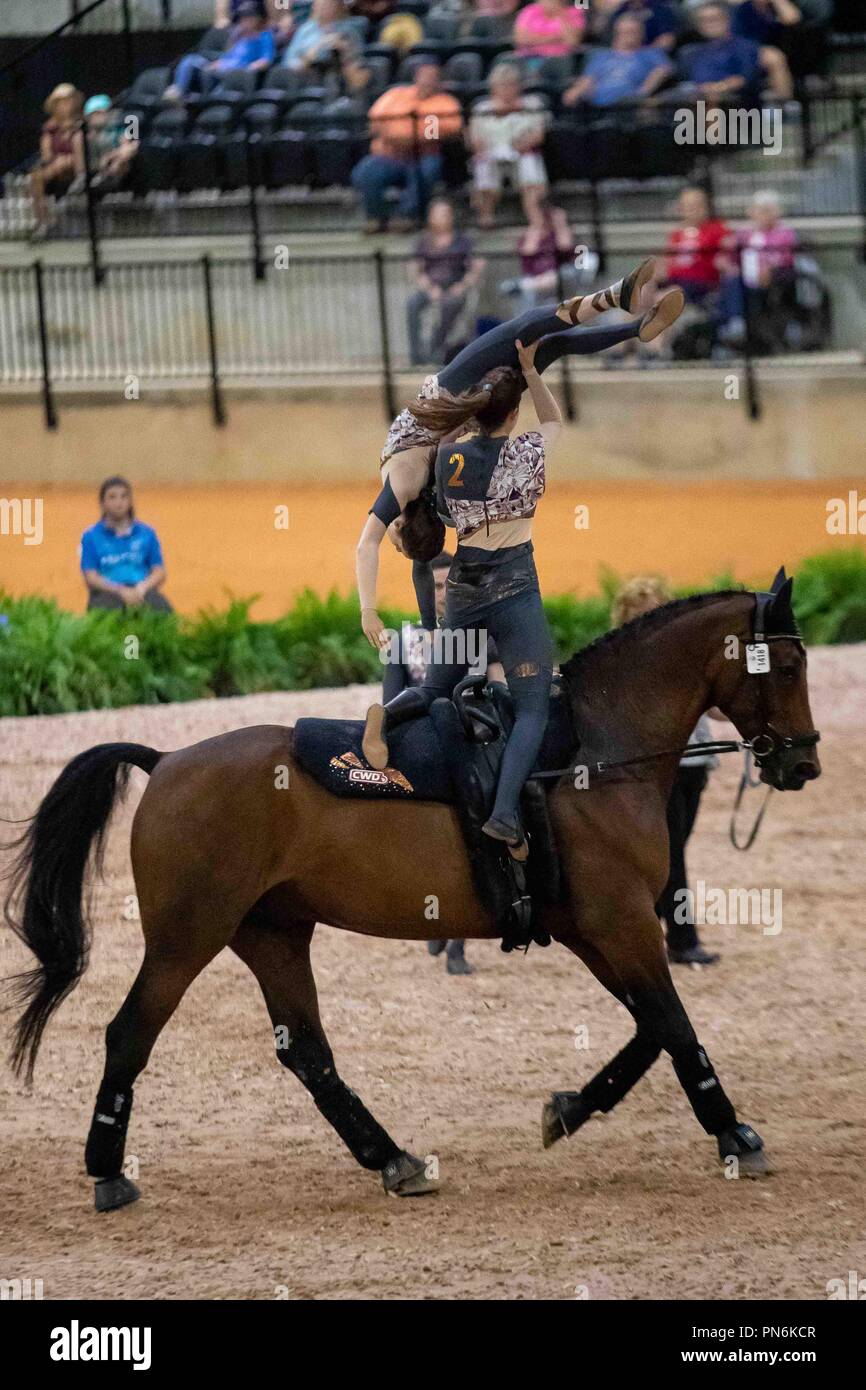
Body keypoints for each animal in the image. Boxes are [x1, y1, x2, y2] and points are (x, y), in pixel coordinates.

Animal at [5, 572, 817, 1206]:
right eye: (784, 664)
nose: (802, 763)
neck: (589, 756)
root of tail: (166, 760)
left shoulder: (597, 932)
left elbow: (650, 1029)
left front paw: (570, 1108)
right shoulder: (622, 924)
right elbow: (674, 1025)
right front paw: (735, 1134)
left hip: (271, 934)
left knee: (307, 1053)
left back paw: (392, 1159)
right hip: (186, 940)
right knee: (129, 1035)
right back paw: (109, 1173)